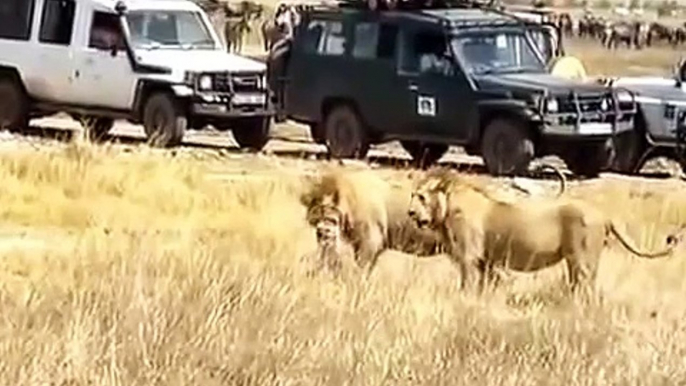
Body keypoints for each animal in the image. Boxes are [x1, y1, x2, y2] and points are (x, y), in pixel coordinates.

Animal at [408, 168, 684, 292]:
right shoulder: (486, 262)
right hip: (578, 262)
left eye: (421, 197)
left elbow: (466, 285)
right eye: (413, 195)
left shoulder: (469, 258)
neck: (447, 207)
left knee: (586, 287)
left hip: (582, 260)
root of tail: (604, 214)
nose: (410, 213)